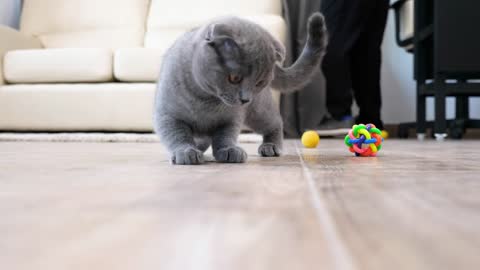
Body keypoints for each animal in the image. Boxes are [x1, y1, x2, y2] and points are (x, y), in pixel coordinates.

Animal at [154, 12, 326, 165]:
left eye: (259, 83)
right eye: (234, 78)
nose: (245, 99)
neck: (206, 99)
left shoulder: (231, 119)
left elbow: (225, 136)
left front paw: (229, 150)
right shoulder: (167, 116)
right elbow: (178, 135)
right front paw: (186, 152)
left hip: (258, 111)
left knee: (276, 122)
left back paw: (271, 146)